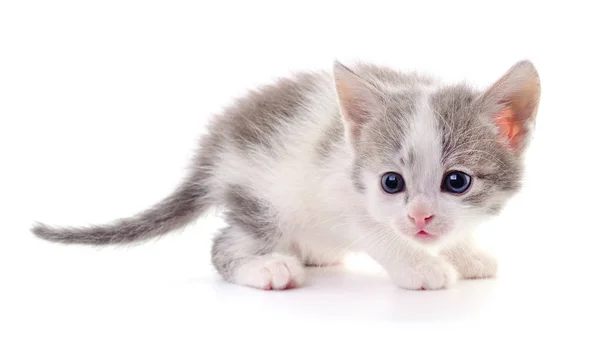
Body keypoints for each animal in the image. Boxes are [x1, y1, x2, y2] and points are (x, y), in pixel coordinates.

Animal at [31, 59, 540, 288]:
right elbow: (376, 231)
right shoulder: (338, 189)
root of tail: (216, 147)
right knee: (226, 244)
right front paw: (420, 266)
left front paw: (464, 253)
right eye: (390, 182)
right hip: (265, 198)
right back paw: (265, 266)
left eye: (457, 181)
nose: (419, 217)